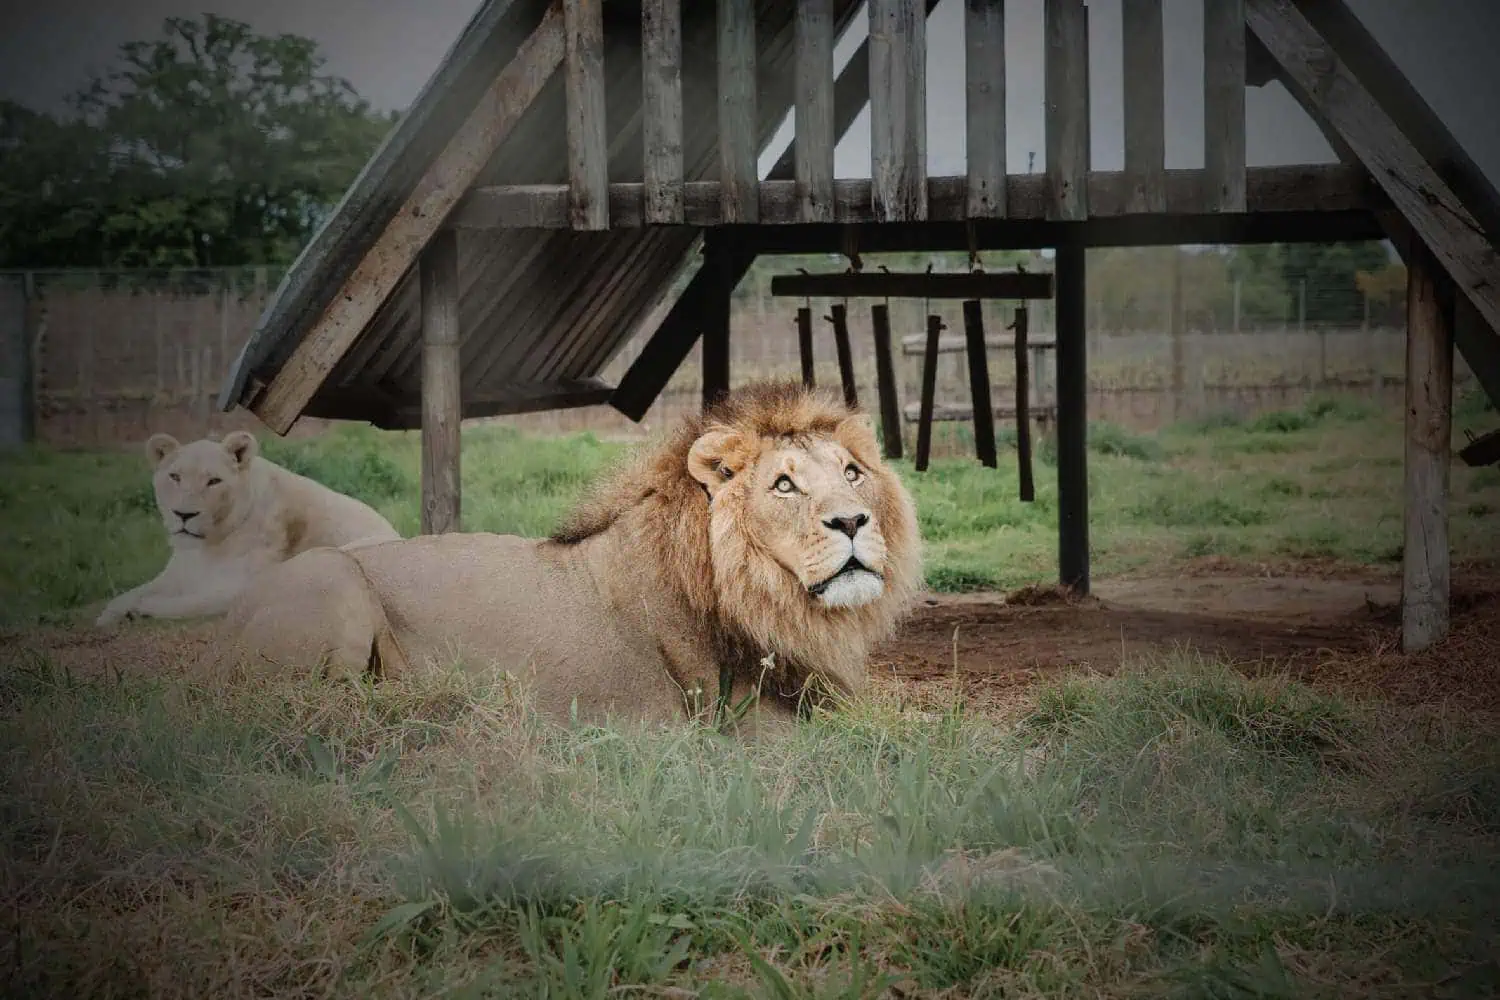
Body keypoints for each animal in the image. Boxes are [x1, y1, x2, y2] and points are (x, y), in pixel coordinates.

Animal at [94, 430, 402, 628]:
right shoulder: (179, 573)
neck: (205, 547)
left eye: (214, 481)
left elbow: (189, 603)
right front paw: (107, 615)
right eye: (175, 477)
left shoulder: (240, 587)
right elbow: (132, 592)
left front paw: (140, 611)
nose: (183, 514)